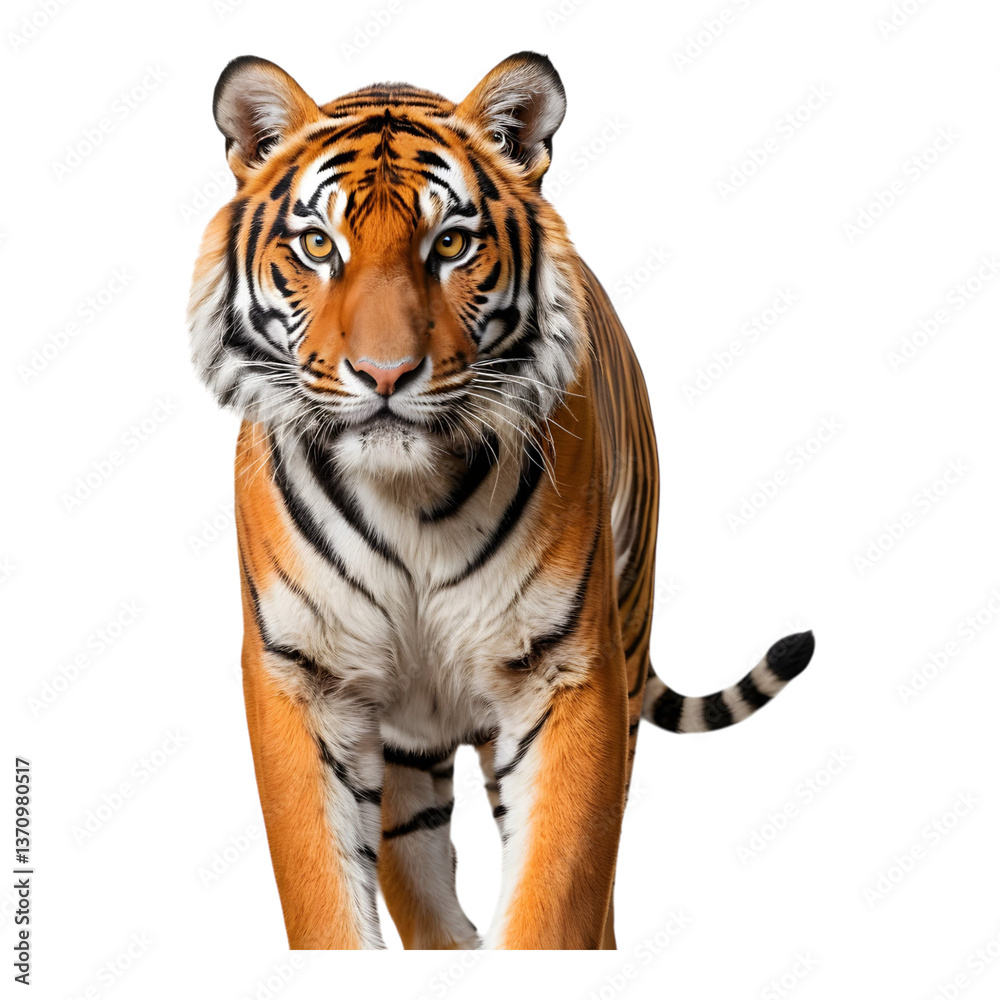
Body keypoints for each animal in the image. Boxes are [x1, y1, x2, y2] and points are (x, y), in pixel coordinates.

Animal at [187, 51, 815, 950]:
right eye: (317, 245)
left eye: (450, 243)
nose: (384, 374)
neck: (407, 499)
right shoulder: (305, 676)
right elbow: (327, 896)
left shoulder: (566, 672)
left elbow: (557, 890)